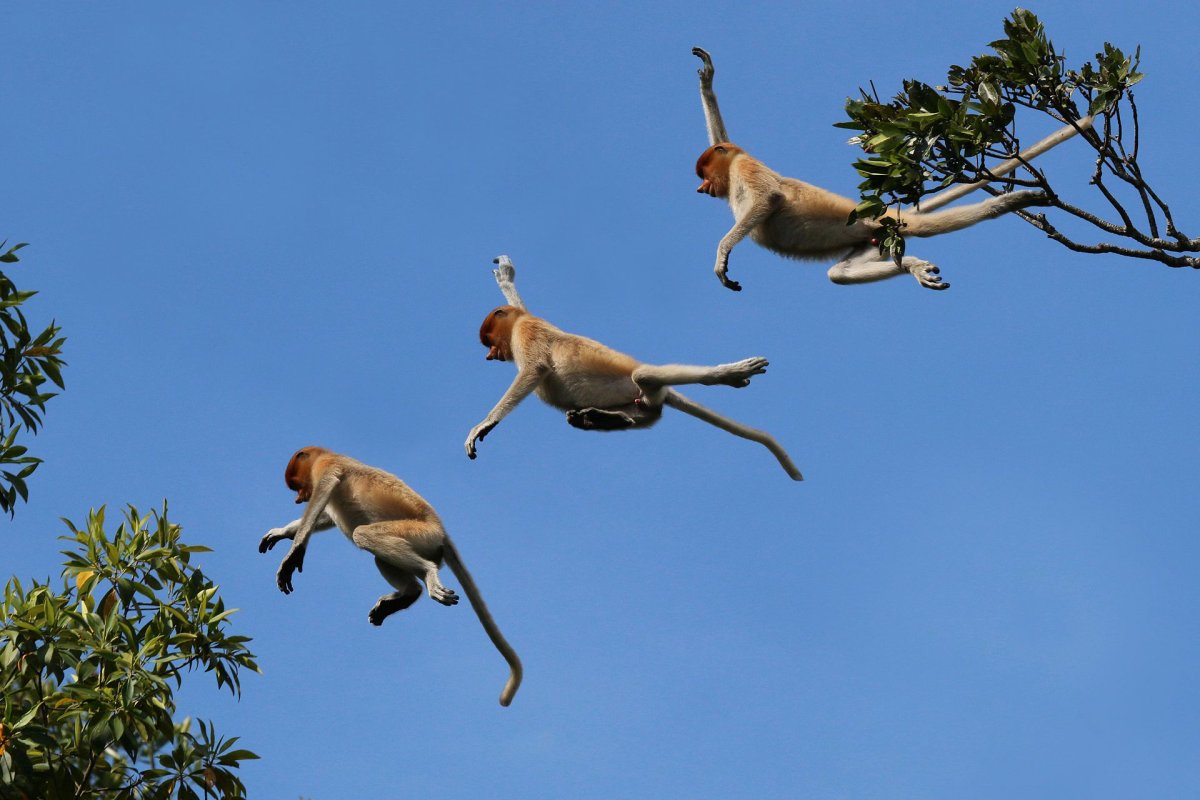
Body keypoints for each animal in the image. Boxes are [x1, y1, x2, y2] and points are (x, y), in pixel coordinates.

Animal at [259, 446, 523, 706]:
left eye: (296, 485)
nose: (298, 498)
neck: (325, 454)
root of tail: (442, 533)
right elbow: (325, 516)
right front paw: (280, 532)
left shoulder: (326, 468)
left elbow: (322, 496)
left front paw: (293, 555)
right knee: (380, 558)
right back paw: (407, 595)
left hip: (419, 534)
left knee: (362, 535)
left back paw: (428, 576)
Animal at [465, 257, 803, 480]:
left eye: (489, 339)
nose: (491, 355)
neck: (517, 324)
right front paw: (506, 277)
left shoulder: (526, 332)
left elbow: (533, 370)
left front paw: (483, 425)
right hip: (642, 405)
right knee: (642, 413)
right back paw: (597, 418)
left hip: (639, 384)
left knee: (645, 376)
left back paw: (730, 374)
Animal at [692, 46, 1051, 292]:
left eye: (704, 174)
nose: (701, 188)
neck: (732, 168)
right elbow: (723, 137)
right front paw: (707, 80)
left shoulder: (744, 165)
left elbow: (769, 199)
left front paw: (722, 256)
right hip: (870, 240)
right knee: (839, 274)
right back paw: (913, 266)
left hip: (880, 225)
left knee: (927, 227)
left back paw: (1014, 202)